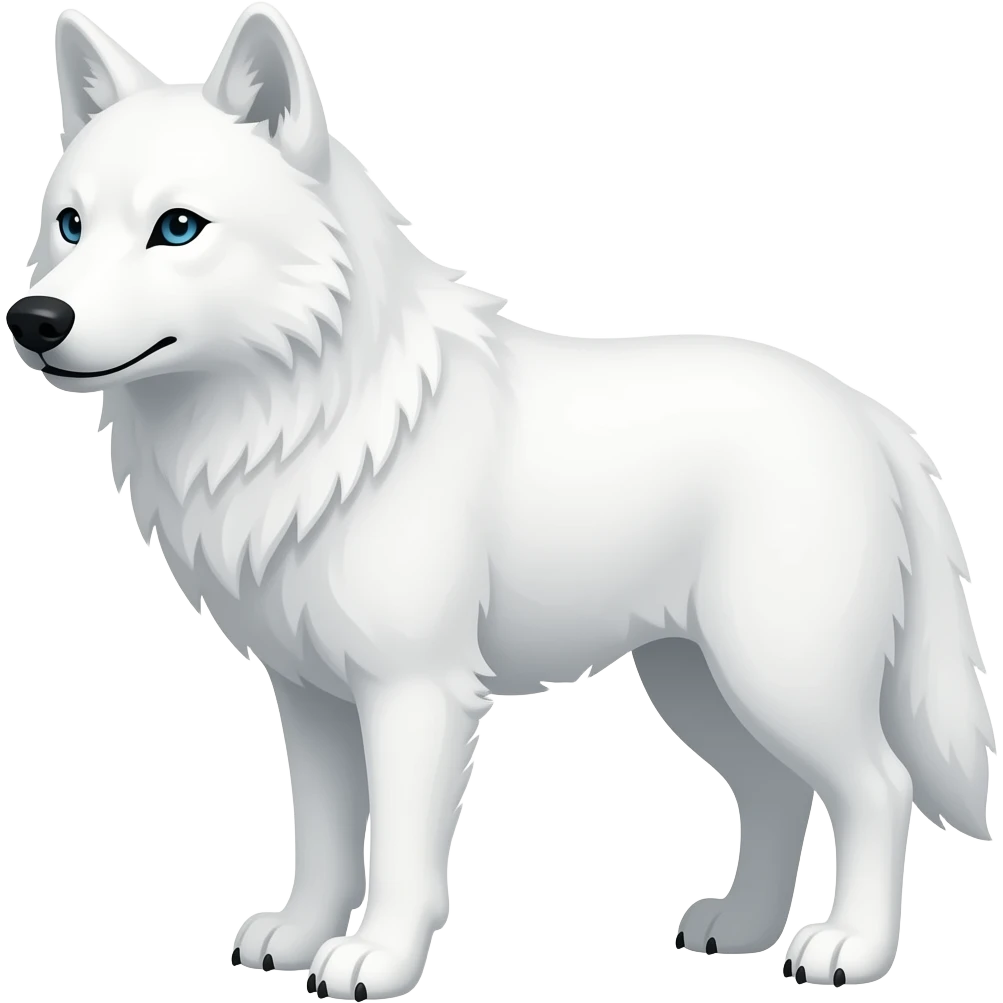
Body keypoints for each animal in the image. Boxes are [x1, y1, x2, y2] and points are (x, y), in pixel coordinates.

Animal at [8, 3, 994, 998]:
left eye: (177, 228)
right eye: (70, 224)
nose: (34, 320)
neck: (308, 417)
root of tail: (864, 409)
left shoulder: (415, 691)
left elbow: (403, 853)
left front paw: (376, 958)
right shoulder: (310, 695)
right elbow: (321, 839)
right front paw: (296, 937)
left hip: (780, 677)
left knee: (877, 786)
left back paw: (850, 948)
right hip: (697, 683)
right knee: (776, 790)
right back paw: (743, 927)